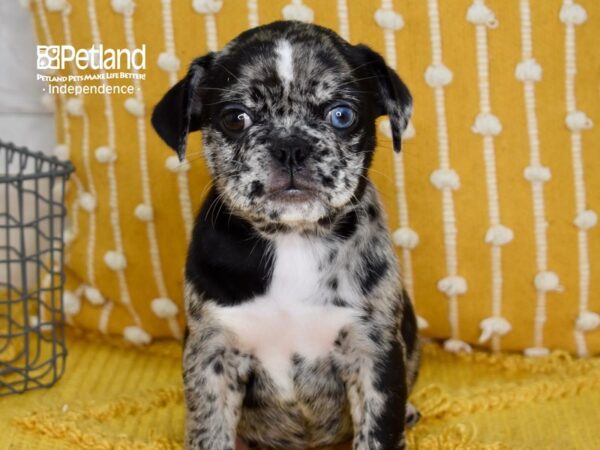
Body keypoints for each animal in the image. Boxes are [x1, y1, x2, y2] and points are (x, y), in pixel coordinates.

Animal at [152, 20, 420, 450]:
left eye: (342, 115)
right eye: (235, 118)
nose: (290, 145)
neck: (293, 238)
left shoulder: (372, 351)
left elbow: (379, 432)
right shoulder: (213, 355)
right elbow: (210, 432)